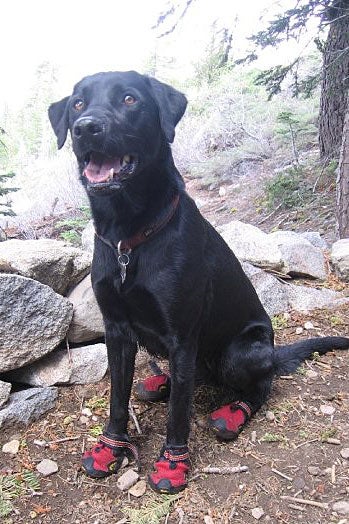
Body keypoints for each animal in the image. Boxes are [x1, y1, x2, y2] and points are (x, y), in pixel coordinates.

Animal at [48, 70, 348, 496]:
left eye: (129, 99)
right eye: (77, 104)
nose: (86, 127)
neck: (129, 237)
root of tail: (273, 350)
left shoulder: (182, 337)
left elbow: (178, 415)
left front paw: (172, 463)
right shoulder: (117, 331)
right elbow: (118, 398)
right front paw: (111, 446)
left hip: (239, 354)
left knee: (261, 385)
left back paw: (233, 412)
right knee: (185, 383)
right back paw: (161, 384)